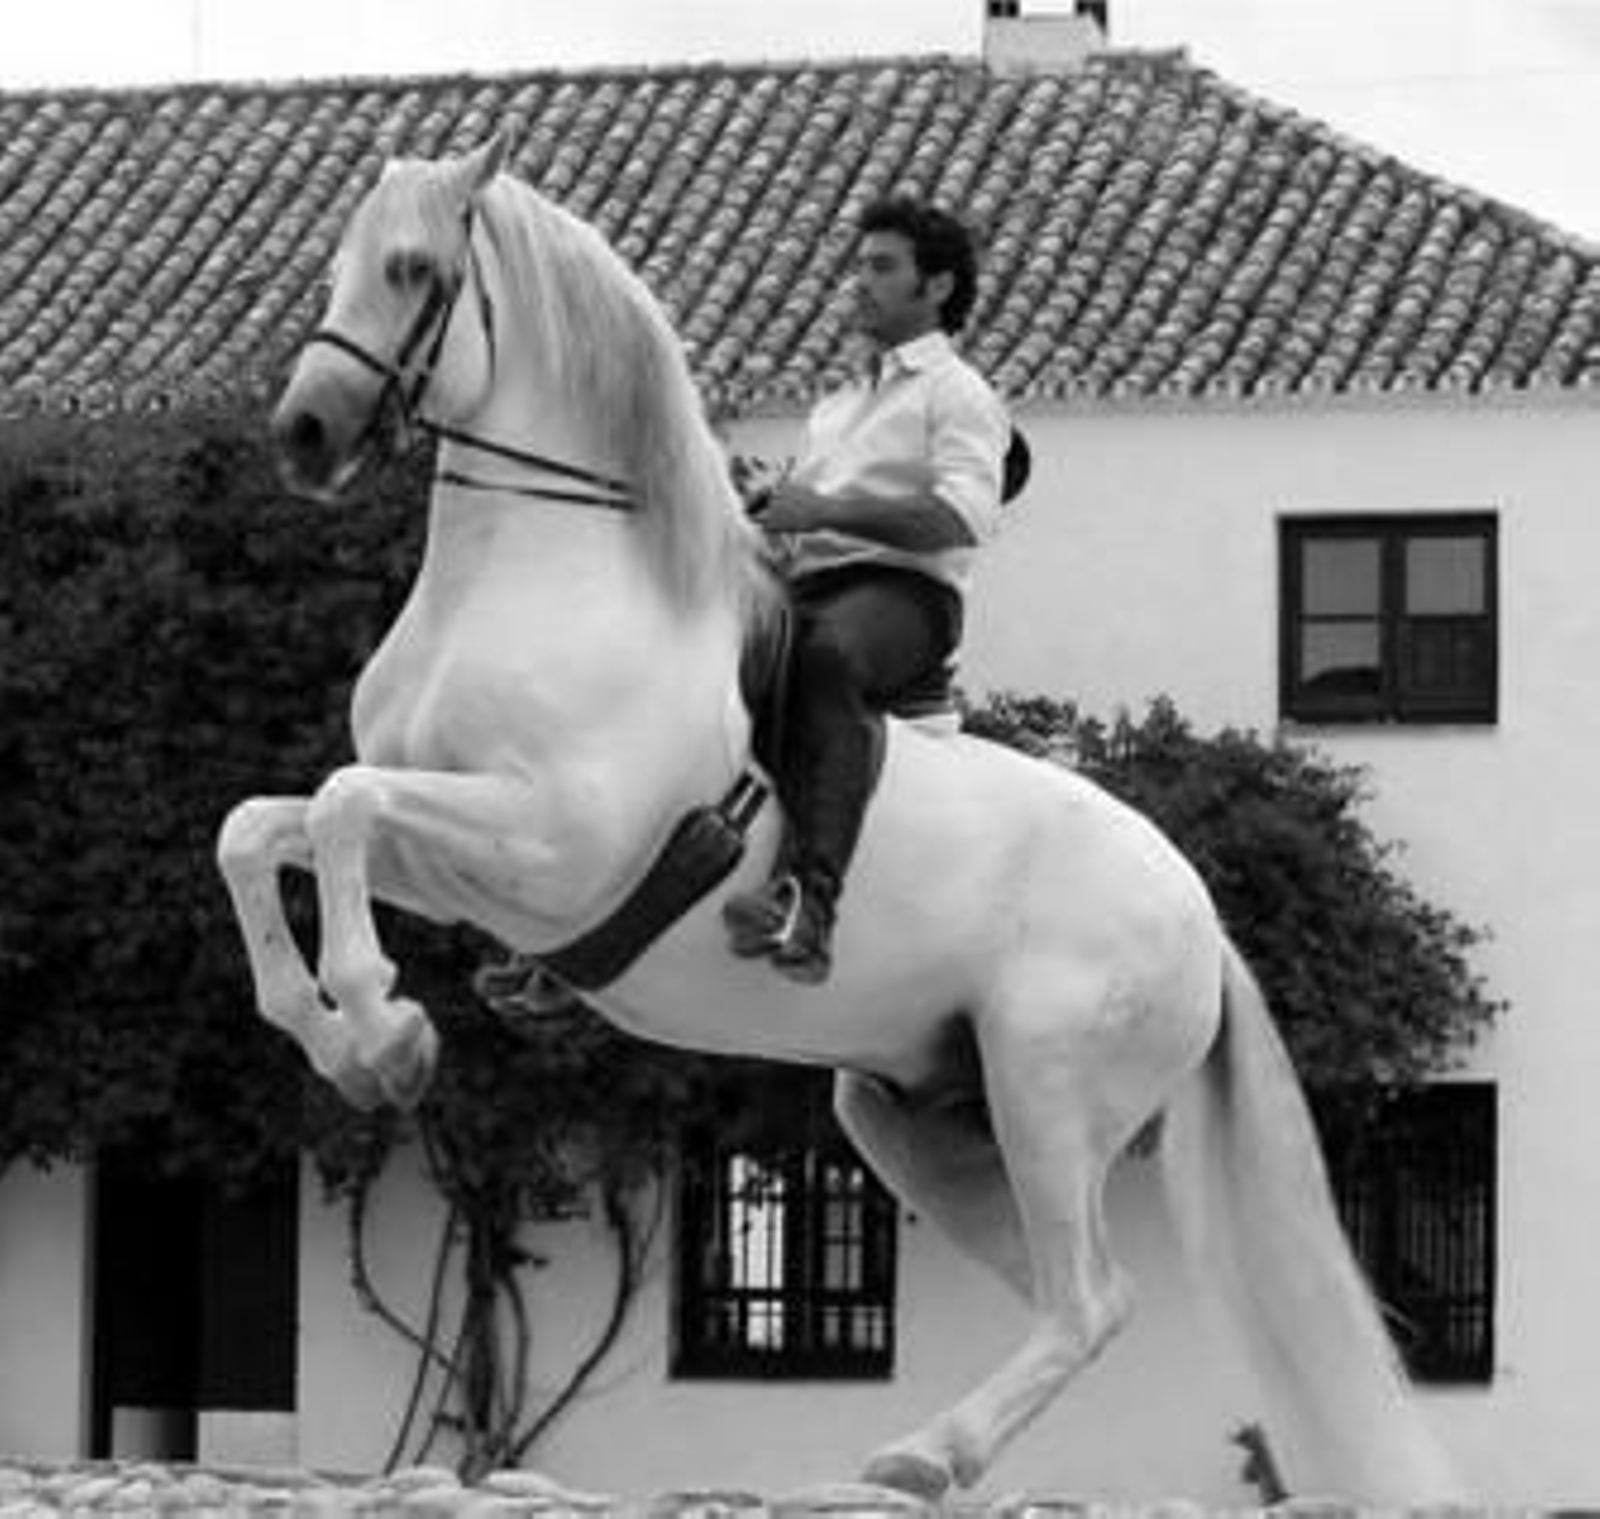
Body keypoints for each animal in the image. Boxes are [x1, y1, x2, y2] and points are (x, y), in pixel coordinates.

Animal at [217, 135, 1457, 1504]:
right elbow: (261, 829)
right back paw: (946, 1451)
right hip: (916, 1119)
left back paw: (924, 1454)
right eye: (341, 262)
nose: (303, 433)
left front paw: (384, 1033)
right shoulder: (452, 859)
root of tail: (1201, 920)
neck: (540, 577)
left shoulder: (549, 850)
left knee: (1086, 1299)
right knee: (1079, 1300)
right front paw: (339, 1032)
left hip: (1046, 1087)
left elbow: (339, 807)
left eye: (413, 270)